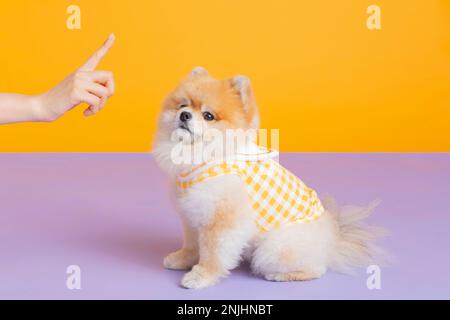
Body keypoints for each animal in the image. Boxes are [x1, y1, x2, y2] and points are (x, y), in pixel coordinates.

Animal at [152, 66, 384, 288]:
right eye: (182, 106)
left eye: (208, 116)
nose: (184, 115)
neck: (200, 156)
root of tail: (331, 242)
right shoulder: (192, 214)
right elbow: (192, 243)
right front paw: (183, 259)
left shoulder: (221, 220)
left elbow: (212, 253)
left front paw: (202, 276)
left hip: (275, 248)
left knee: (316, 269)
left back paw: (281, 275)